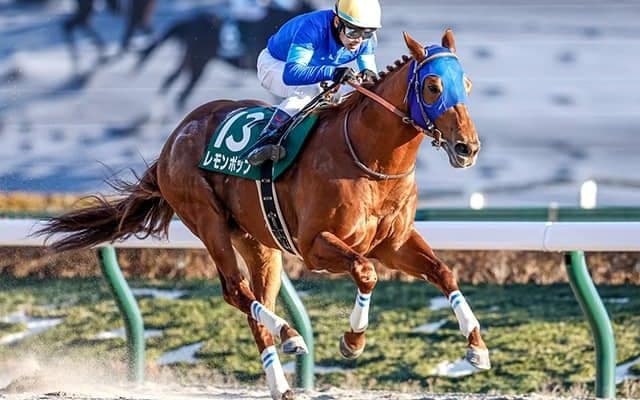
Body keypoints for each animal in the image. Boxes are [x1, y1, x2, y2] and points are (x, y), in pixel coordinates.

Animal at [37, 30, 489, 400]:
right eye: (432, 85)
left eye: (466, 84)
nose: (467, 147)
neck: (368, 157)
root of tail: (174, 138)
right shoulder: (314, 246)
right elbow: (366, 272)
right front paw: (353, 340)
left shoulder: (393, 243)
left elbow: (443, 272)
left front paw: (476, 348)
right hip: (208, 221)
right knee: (236, 291)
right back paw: (290, 334)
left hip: (258, 242)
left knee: (256, 302)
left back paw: (282, 380)